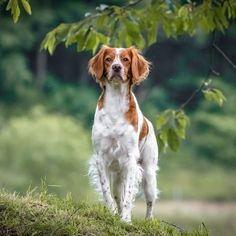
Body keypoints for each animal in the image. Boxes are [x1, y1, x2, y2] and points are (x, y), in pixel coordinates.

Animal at [88, 45, 159, 222]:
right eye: (108, 59)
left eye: (126, 59)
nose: (116, 67)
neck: (116, 102)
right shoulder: (101, 157)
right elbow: (106, 191)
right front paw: (112, 213)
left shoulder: (130, 159)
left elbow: (128, 195)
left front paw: (126, 220)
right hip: (118, 176)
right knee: (117, 195)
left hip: (149, 175)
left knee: (150, 202)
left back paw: (148, 220)